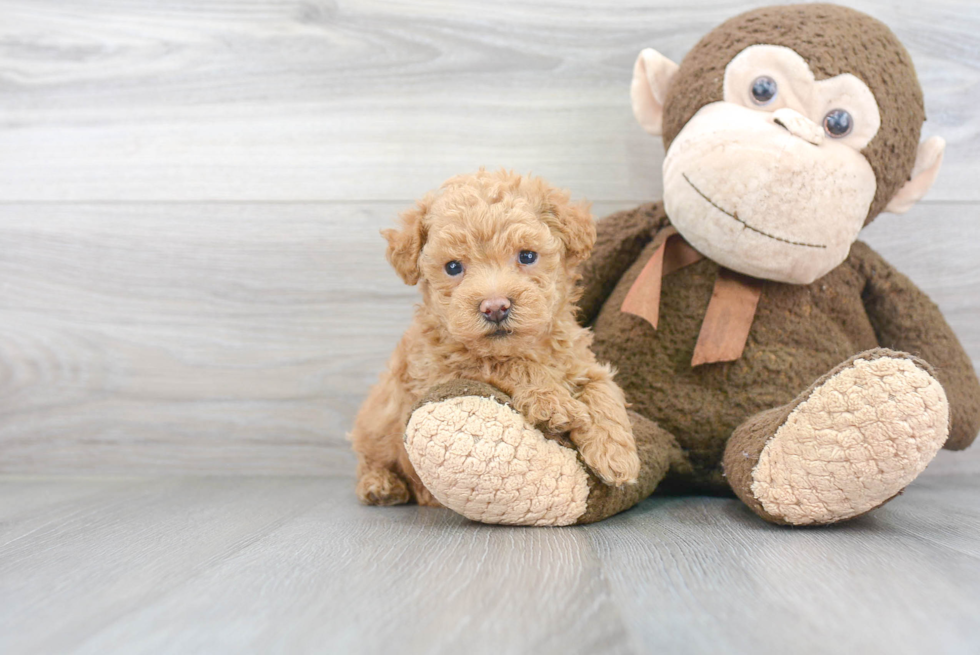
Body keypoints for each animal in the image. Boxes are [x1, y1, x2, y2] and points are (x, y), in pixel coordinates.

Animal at [348, 170, 640, 508]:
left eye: (527, 256)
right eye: (453, 267)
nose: (495, 307)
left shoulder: (582, 363)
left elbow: (603, 389)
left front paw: (616, 454)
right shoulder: (440, 372)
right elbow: (507, 364)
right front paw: (553, 402)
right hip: (376, 426)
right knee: (369, 460)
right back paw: (381, 485)